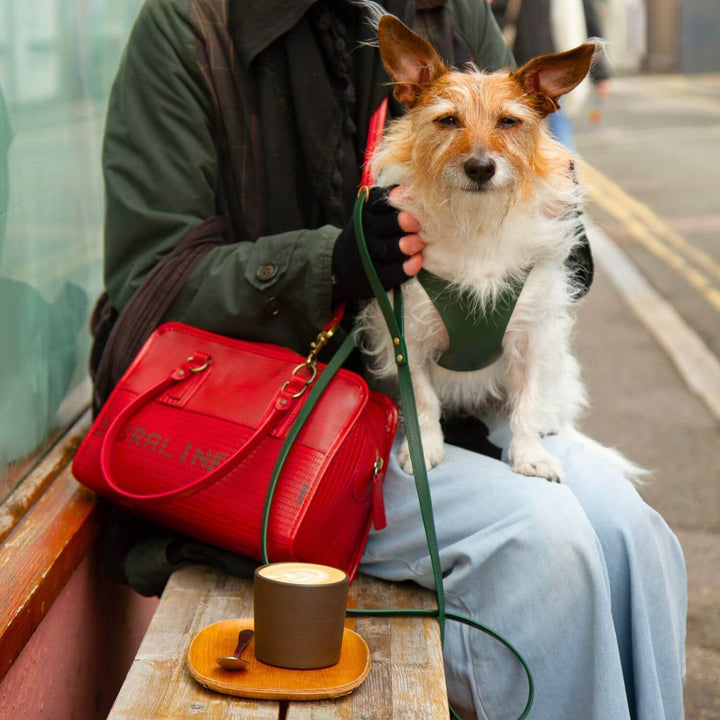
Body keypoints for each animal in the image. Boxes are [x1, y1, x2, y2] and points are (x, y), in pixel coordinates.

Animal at [360, 11, 636, 480]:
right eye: (448, 121)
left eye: (508, 121)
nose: (480, 168)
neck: (478, 223)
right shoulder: (408, 340)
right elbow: (424, 404)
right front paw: (424, 449)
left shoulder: (531, 338)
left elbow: (526, 405)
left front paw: (528, 456)